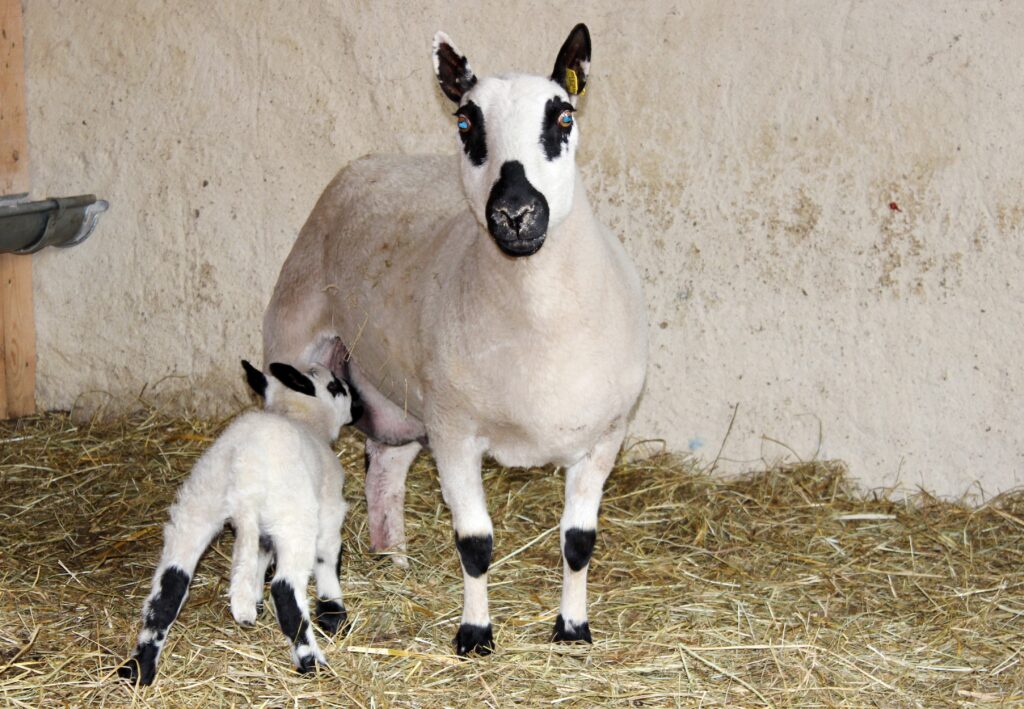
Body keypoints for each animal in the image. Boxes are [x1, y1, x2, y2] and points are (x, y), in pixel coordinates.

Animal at [117, 360, 360, 688]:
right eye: (335, 387)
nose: (359, 406)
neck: (301, 419)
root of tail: (245, 466)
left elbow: (259, 556)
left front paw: (254, 599)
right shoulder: (330, 507)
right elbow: (328, 557)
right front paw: (334, 614)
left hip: (198, 504)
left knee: (171, 585)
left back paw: (139, 668)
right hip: (294, 518)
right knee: (285, 591)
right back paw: (313, 663)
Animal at [264, 23, 647, 651]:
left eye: (563, 117)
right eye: (466, 123)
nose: (516, 212)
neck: (537, 320)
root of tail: (371, 162)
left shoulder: (604, 439)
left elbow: (578, 542)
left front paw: (573, 629)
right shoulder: (455, 432)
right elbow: (475, 544)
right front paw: (475, 634)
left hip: (399, 401)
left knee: (385, 469)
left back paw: (392, 559)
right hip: (295, 345)